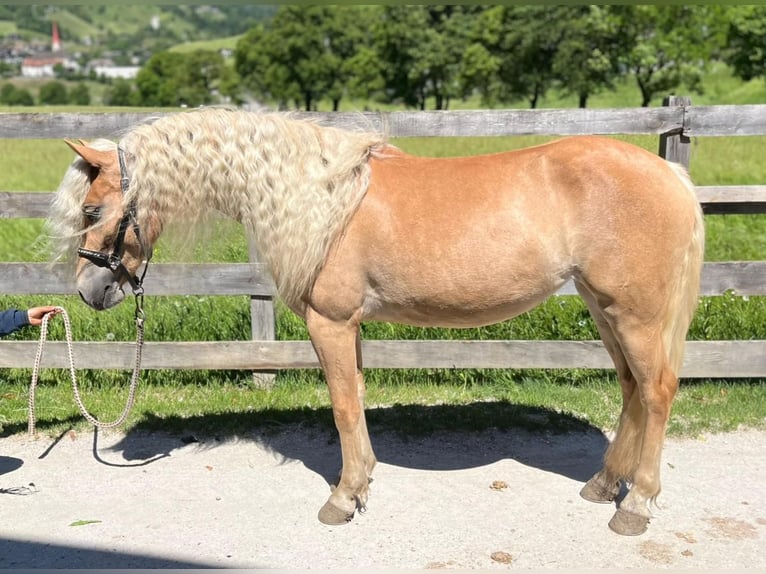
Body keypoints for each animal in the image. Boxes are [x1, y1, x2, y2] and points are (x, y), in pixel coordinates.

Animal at [46, 108, 704, 536]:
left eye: (93, 209)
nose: (89, 290)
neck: (317, 197)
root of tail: (668, 174)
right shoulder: (352, 327)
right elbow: (357, 403)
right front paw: (361, 486)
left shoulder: (331, 323)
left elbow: (342, 407)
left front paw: (341, 499)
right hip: (604, 307)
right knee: (632, 389)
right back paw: (604, 485)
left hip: (634, 313)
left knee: (657, 390)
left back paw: (635, 506)